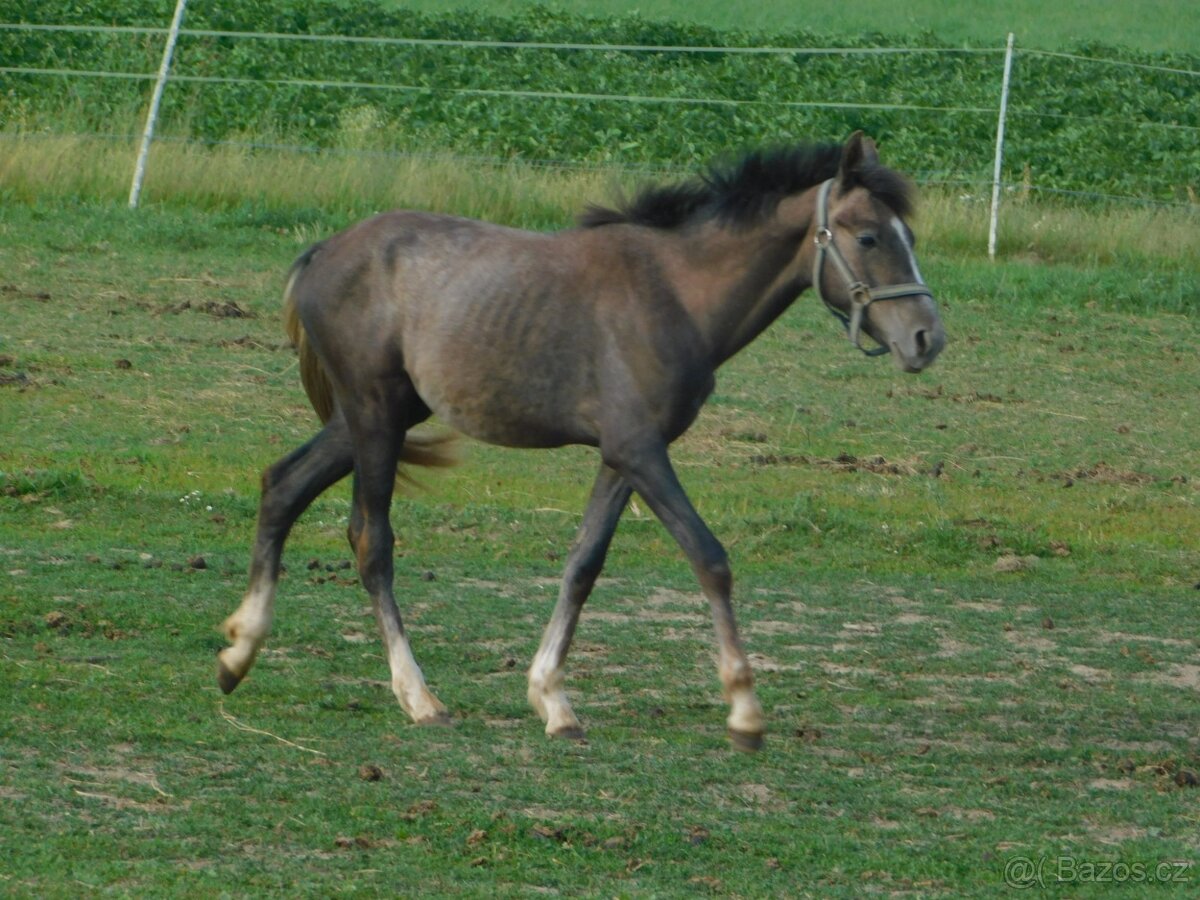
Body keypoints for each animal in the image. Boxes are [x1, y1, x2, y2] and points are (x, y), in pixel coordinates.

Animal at [216, 132, 946, 751]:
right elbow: (709, 557)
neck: (674, 293)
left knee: (281, 486)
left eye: (907, 234)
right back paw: (418, 697)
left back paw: (236, 654)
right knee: (371, 541)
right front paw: (744, 712)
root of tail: (325, 251)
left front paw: (553, 701)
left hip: (376, 417)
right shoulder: (641, 451)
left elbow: (583, 564)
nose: (926, 339)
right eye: (870, 235)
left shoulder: (623, 457)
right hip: (373, 416)